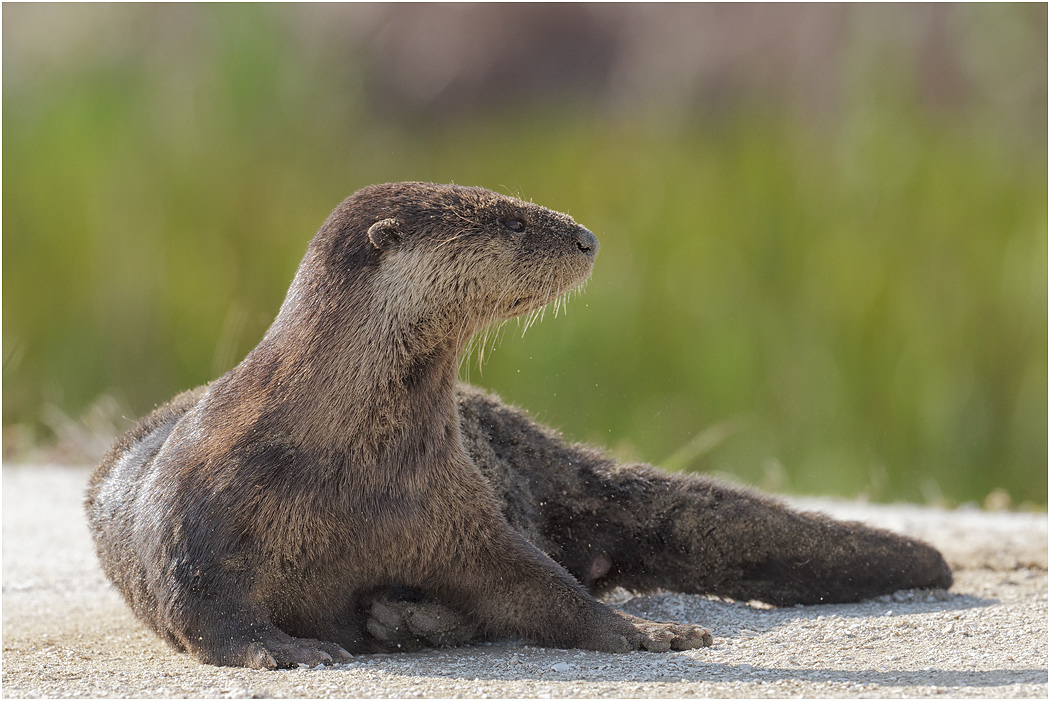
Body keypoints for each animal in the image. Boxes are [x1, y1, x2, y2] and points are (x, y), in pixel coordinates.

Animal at [86, 182, 952, 668]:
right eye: (512, 224)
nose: (587, 236)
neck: (343, 462)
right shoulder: (196, 504)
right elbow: (197, 599)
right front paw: (285, 647)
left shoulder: (452, 509)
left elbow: (539, 586)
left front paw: (647, 632)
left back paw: (405, 615)